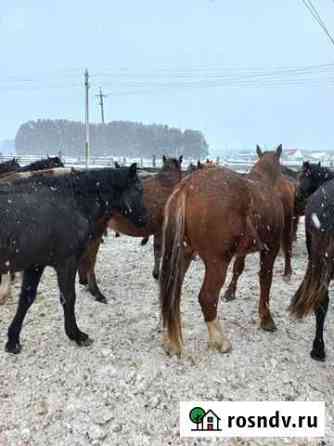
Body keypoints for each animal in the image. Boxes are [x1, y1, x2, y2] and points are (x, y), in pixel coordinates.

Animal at [0, 163, 146, 352]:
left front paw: (13, 341)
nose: (145, 219)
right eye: (139, 189)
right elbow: (68, 297)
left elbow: (26, 299)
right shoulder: (66, 263)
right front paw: (76, 335)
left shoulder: (36, 265)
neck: (71, 202)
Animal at [160, 145, 284, 356]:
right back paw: (220, 341)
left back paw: (173, 342)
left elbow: (240, 269)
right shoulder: (271, 249)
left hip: (184, 255)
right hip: (217, 262)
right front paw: (267, 319)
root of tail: (187, 186)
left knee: (173, 294)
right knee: (207, 297)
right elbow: (265, 280)